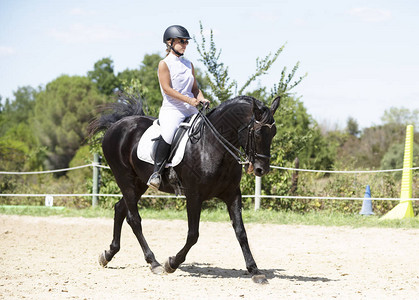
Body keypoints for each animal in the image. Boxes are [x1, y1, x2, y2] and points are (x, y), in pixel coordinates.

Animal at [88, 94, 278, 284]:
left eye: (273, 133)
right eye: (258, 133)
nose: (262, 169)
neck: (212, 146)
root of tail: (118, 124)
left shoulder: (232, 195)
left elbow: (241, 232)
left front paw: (255, 270)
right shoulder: (194, 196)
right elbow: (193, 234)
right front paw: (171, 263)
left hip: (139, 183)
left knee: (120, 208)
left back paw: (108, 255)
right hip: (125, 179)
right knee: (134, 219)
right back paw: (154, 262)